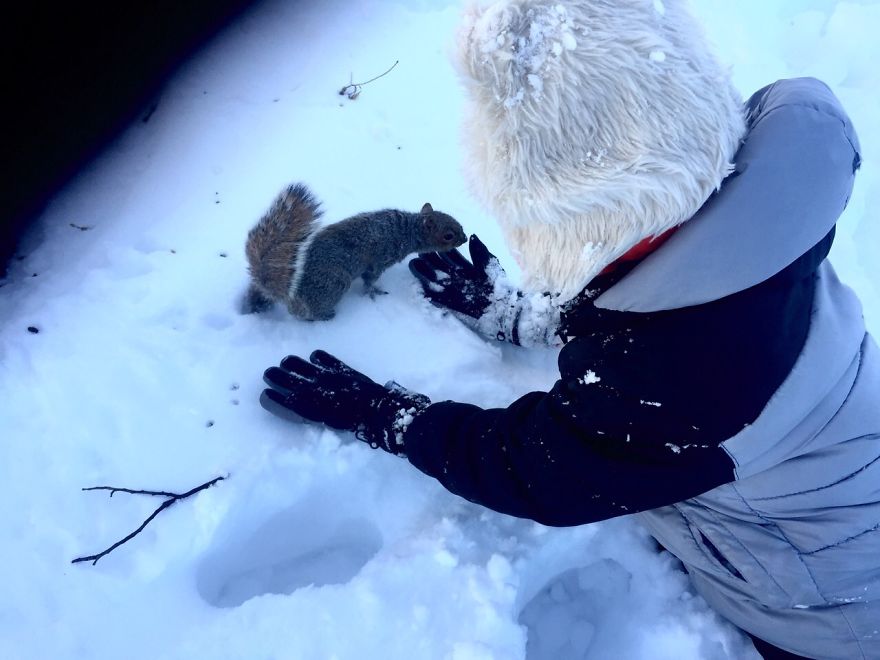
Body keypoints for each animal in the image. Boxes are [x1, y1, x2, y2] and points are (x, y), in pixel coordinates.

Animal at [244, 183, 467, 320]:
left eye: (458, 223)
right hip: (334, 284)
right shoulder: (380, 260)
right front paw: (373, 291)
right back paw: (324, 316)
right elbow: (370, 279)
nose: (465, 239)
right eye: (448, 235)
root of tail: (290, 295)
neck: (406, 230)